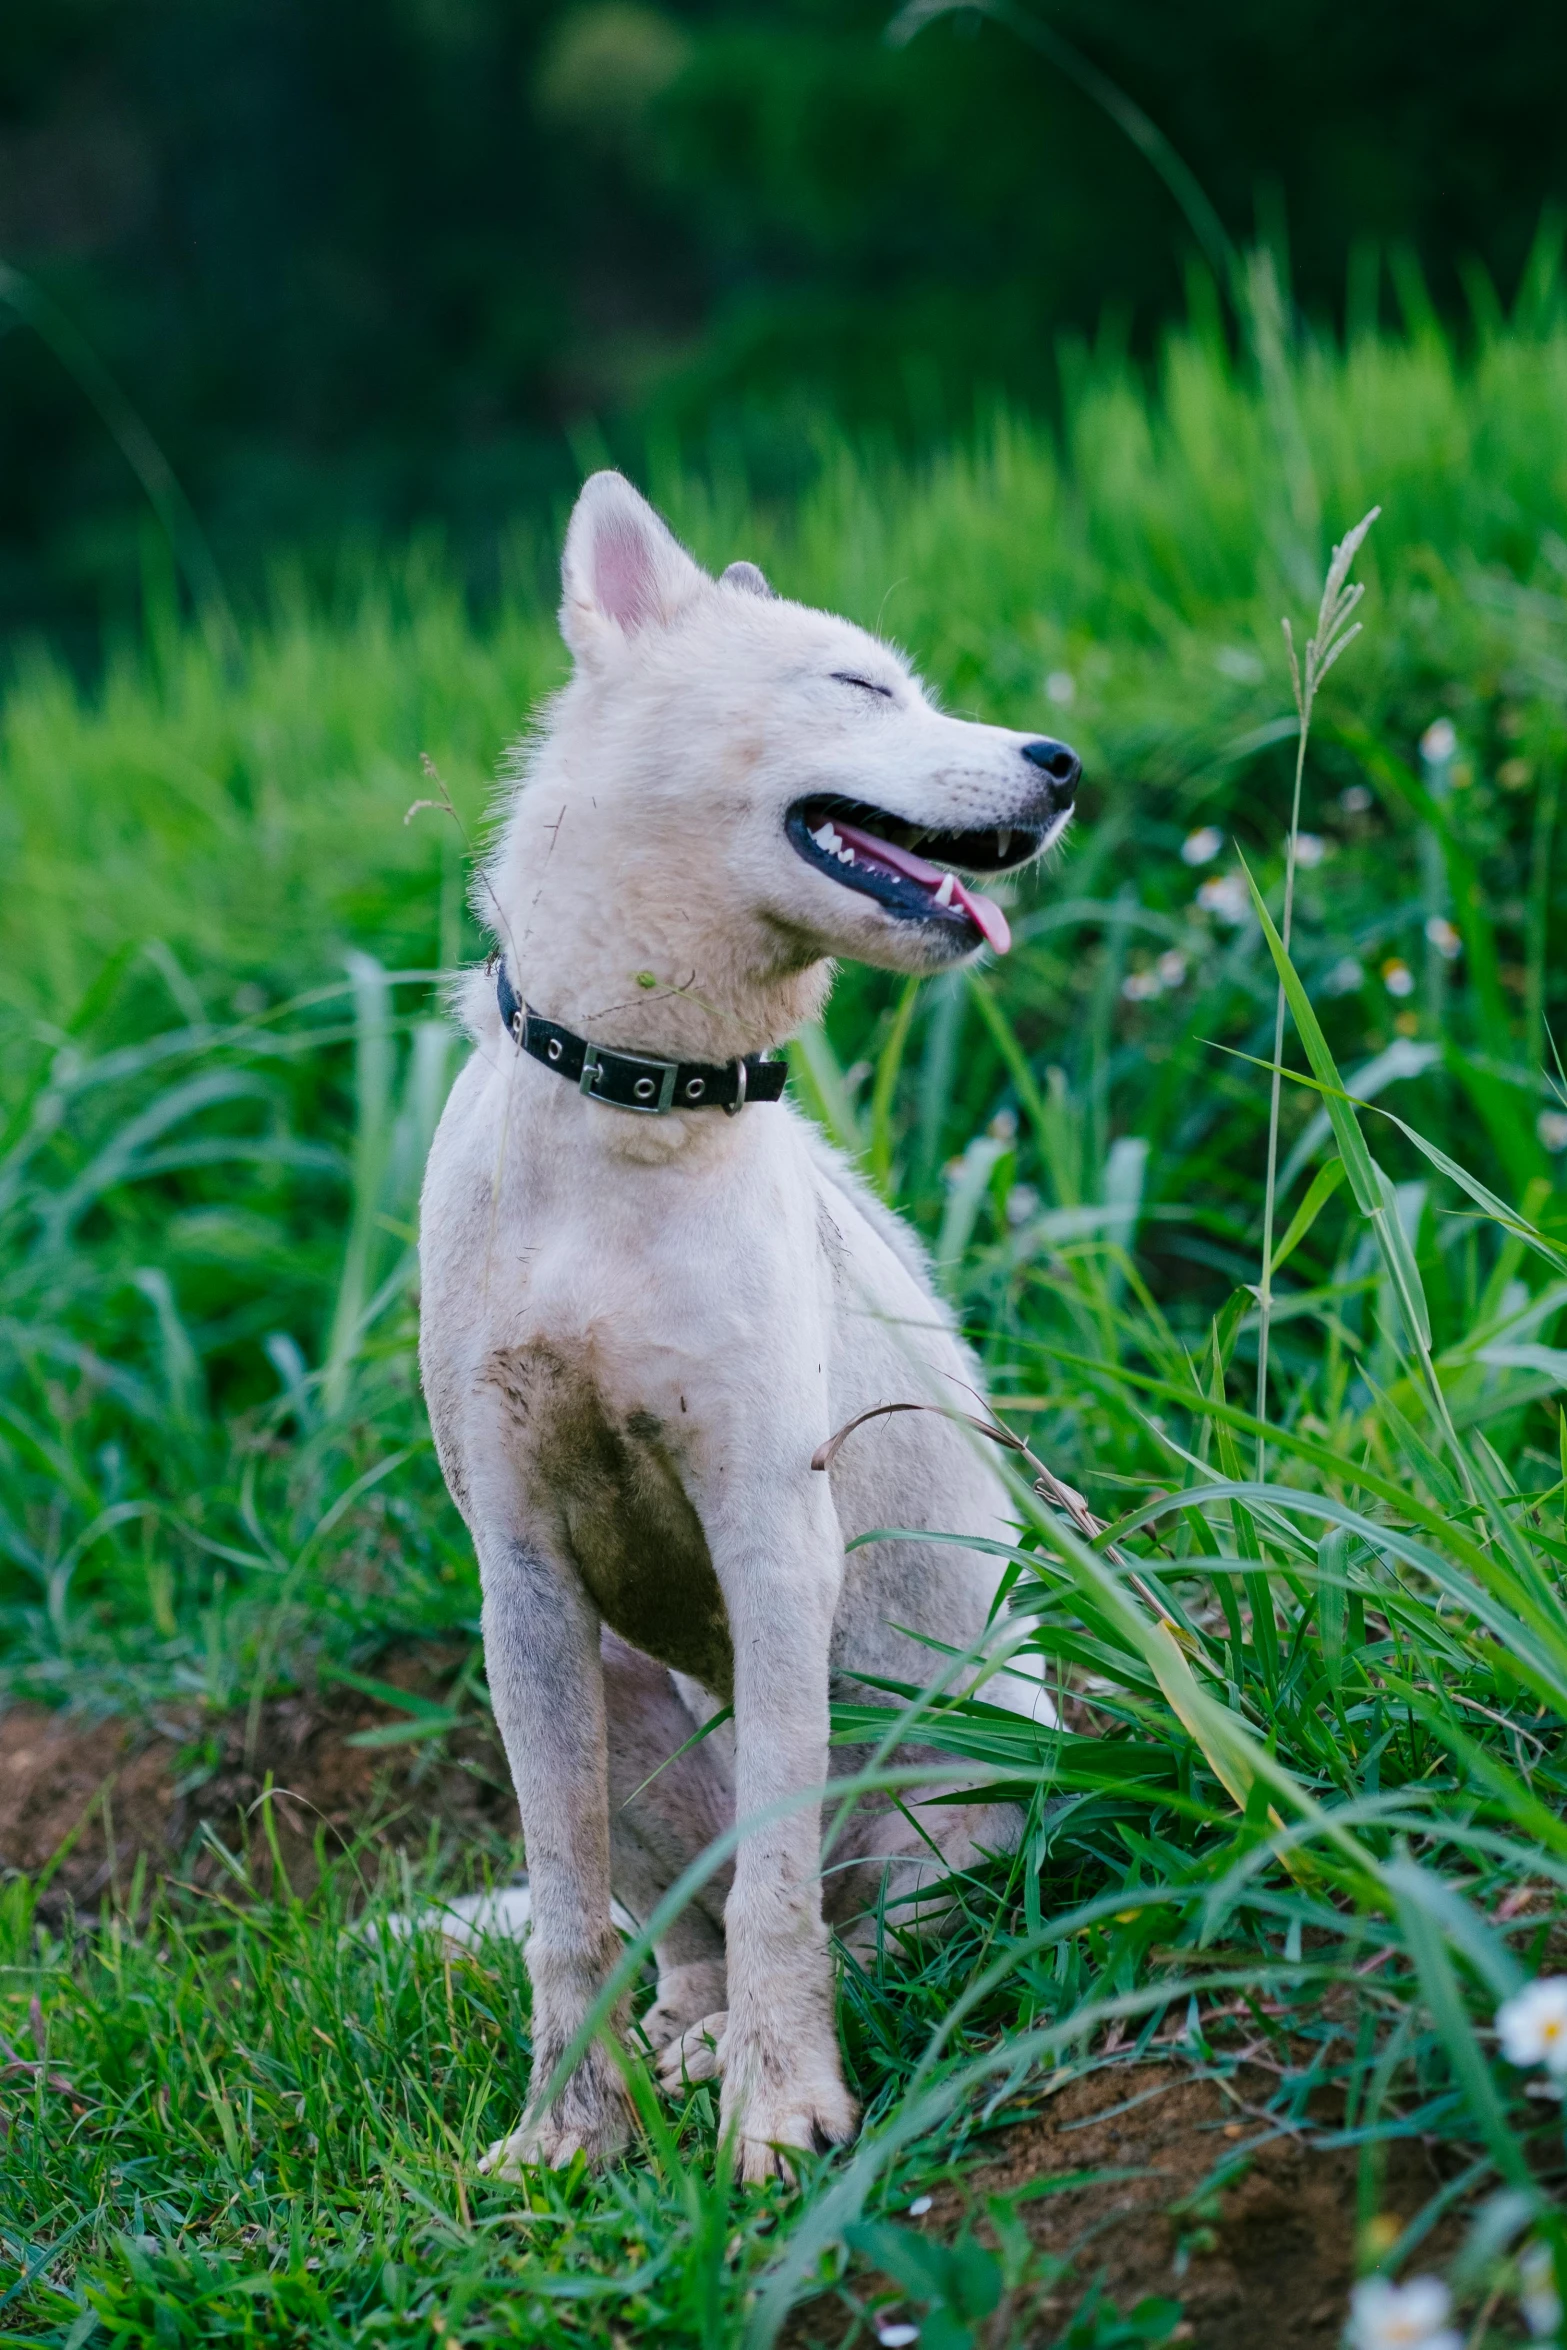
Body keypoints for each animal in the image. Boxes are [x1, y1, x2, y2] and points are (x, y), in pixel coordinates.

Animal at [415, 477, 1080, 2180]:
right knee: (683, 1927)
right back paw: (678, 2031)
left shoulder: (774, 1539)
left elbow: (782, 1903)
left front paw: (783, 2107)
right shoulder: (522, 1573)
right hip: (622, 1695)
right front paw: (564, 2130)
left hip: (952, 1787)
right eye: (858, 687)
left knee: (855, 1919)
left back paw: (749, 2034)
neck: (634, 1117)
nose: (1061, 763)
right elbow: (563, 1915)